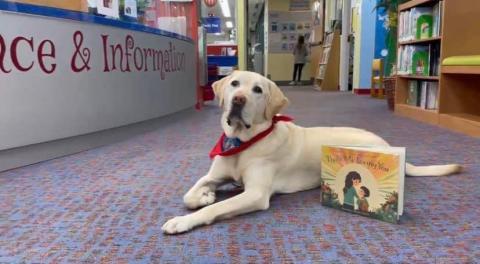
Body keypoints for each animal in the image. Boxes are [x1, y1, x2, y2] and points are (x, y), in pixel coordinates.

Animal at [163, 70, 464, 235]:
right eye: (235, 84)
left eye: (257, 89)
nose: (238, 100)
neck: (242, 142)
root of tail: (389, 146)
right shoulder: (214, 174)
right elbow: (189, 195)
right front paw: (205, 195)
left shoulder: (256, 194)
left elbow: (216, 208)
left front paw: (183, 220)